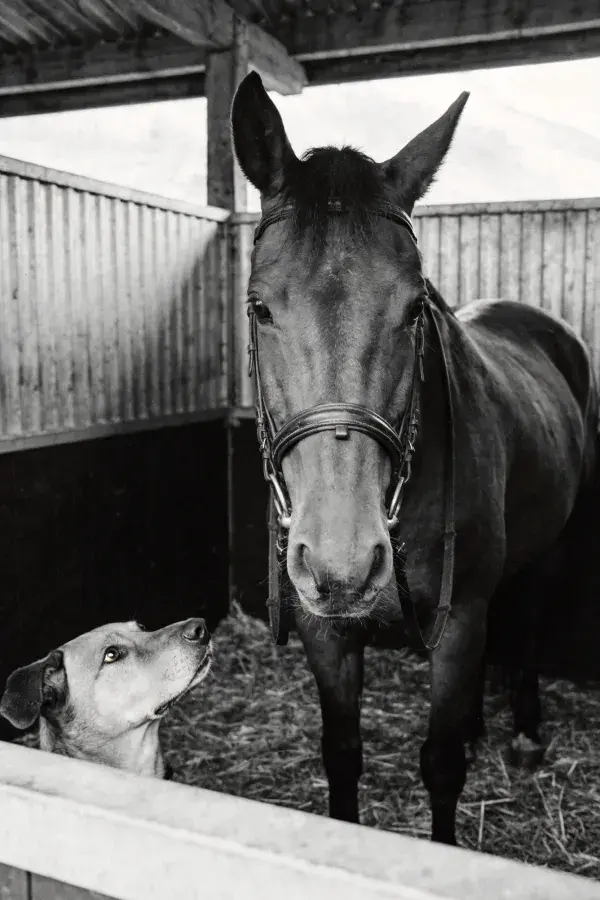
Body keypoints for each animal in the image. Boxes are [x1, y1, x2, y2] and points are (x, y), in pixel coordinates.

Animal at [230, 71, 598, 846]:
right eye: (260, 307)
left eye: (412, 309)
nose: (343, 564)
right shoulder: (325, 630)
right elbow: (342, 752)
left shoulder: (457, 624)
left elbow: (441, 764)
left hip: (550, 545)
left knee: (531, 616)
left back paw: (523, 731)